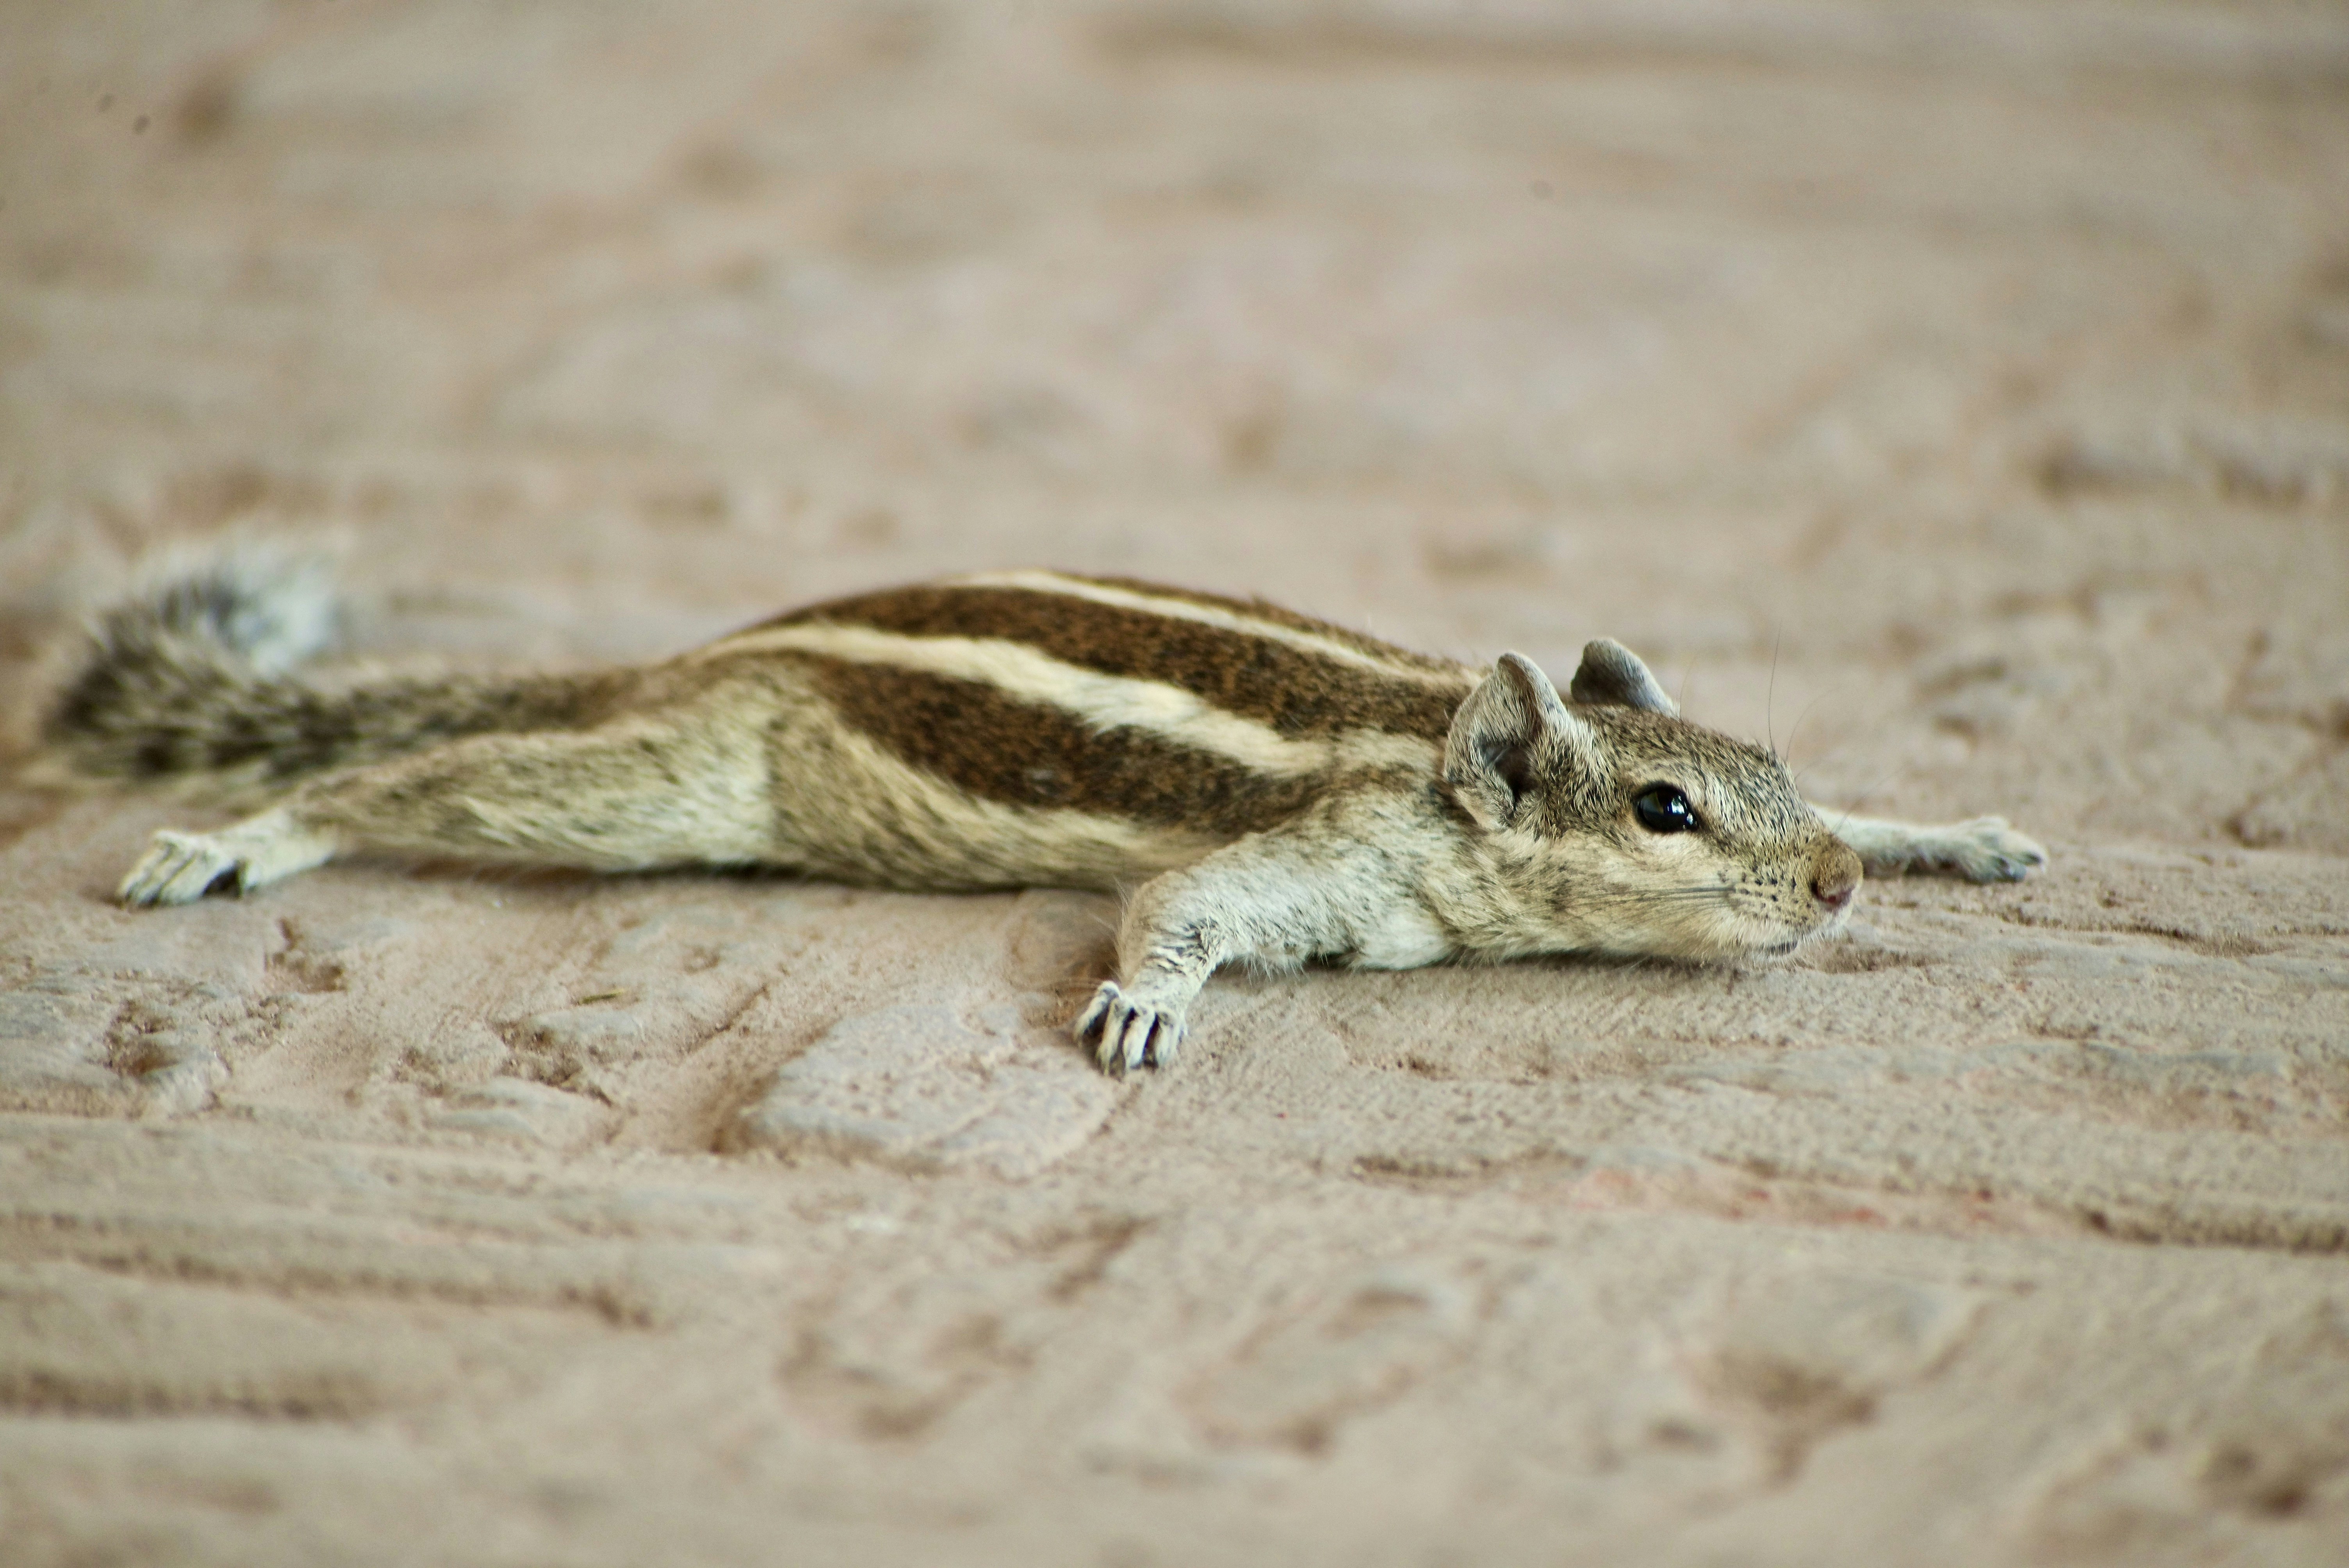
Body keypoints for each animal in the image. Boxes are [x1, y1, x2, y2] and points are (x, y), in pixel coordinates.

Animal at [36, 553, 2044, 1073]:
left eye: (1780, 773)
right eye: (1663, 805)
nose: (1829, 887)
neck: (1423, 752)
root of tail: (703, 651)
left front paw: (1952, 831)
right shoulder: (1316, 856)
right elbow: (1185, 902)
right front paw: (1146, 1003)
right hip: (672, 785)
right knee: (402, 778)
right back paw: (247, 834)